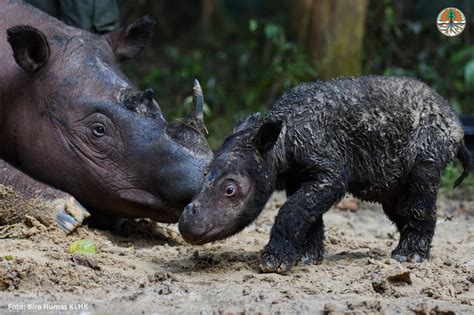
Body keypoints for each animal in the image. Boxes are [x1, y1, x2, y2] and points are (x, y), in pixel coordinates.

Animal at [179, 76, 470, 274]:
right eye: (203, 175)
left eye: (230, 190)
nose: (186, 225)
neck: (279, 141)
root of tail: (455, 120)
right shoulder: (299, 175)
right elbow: (308, 212)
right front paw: (307, 259)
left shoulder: (329, 170)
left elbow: (293, 210)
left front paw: (274, 263)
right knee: (396, 201)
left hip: (432, 140)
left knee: (419, 188)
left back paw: (408, 258)